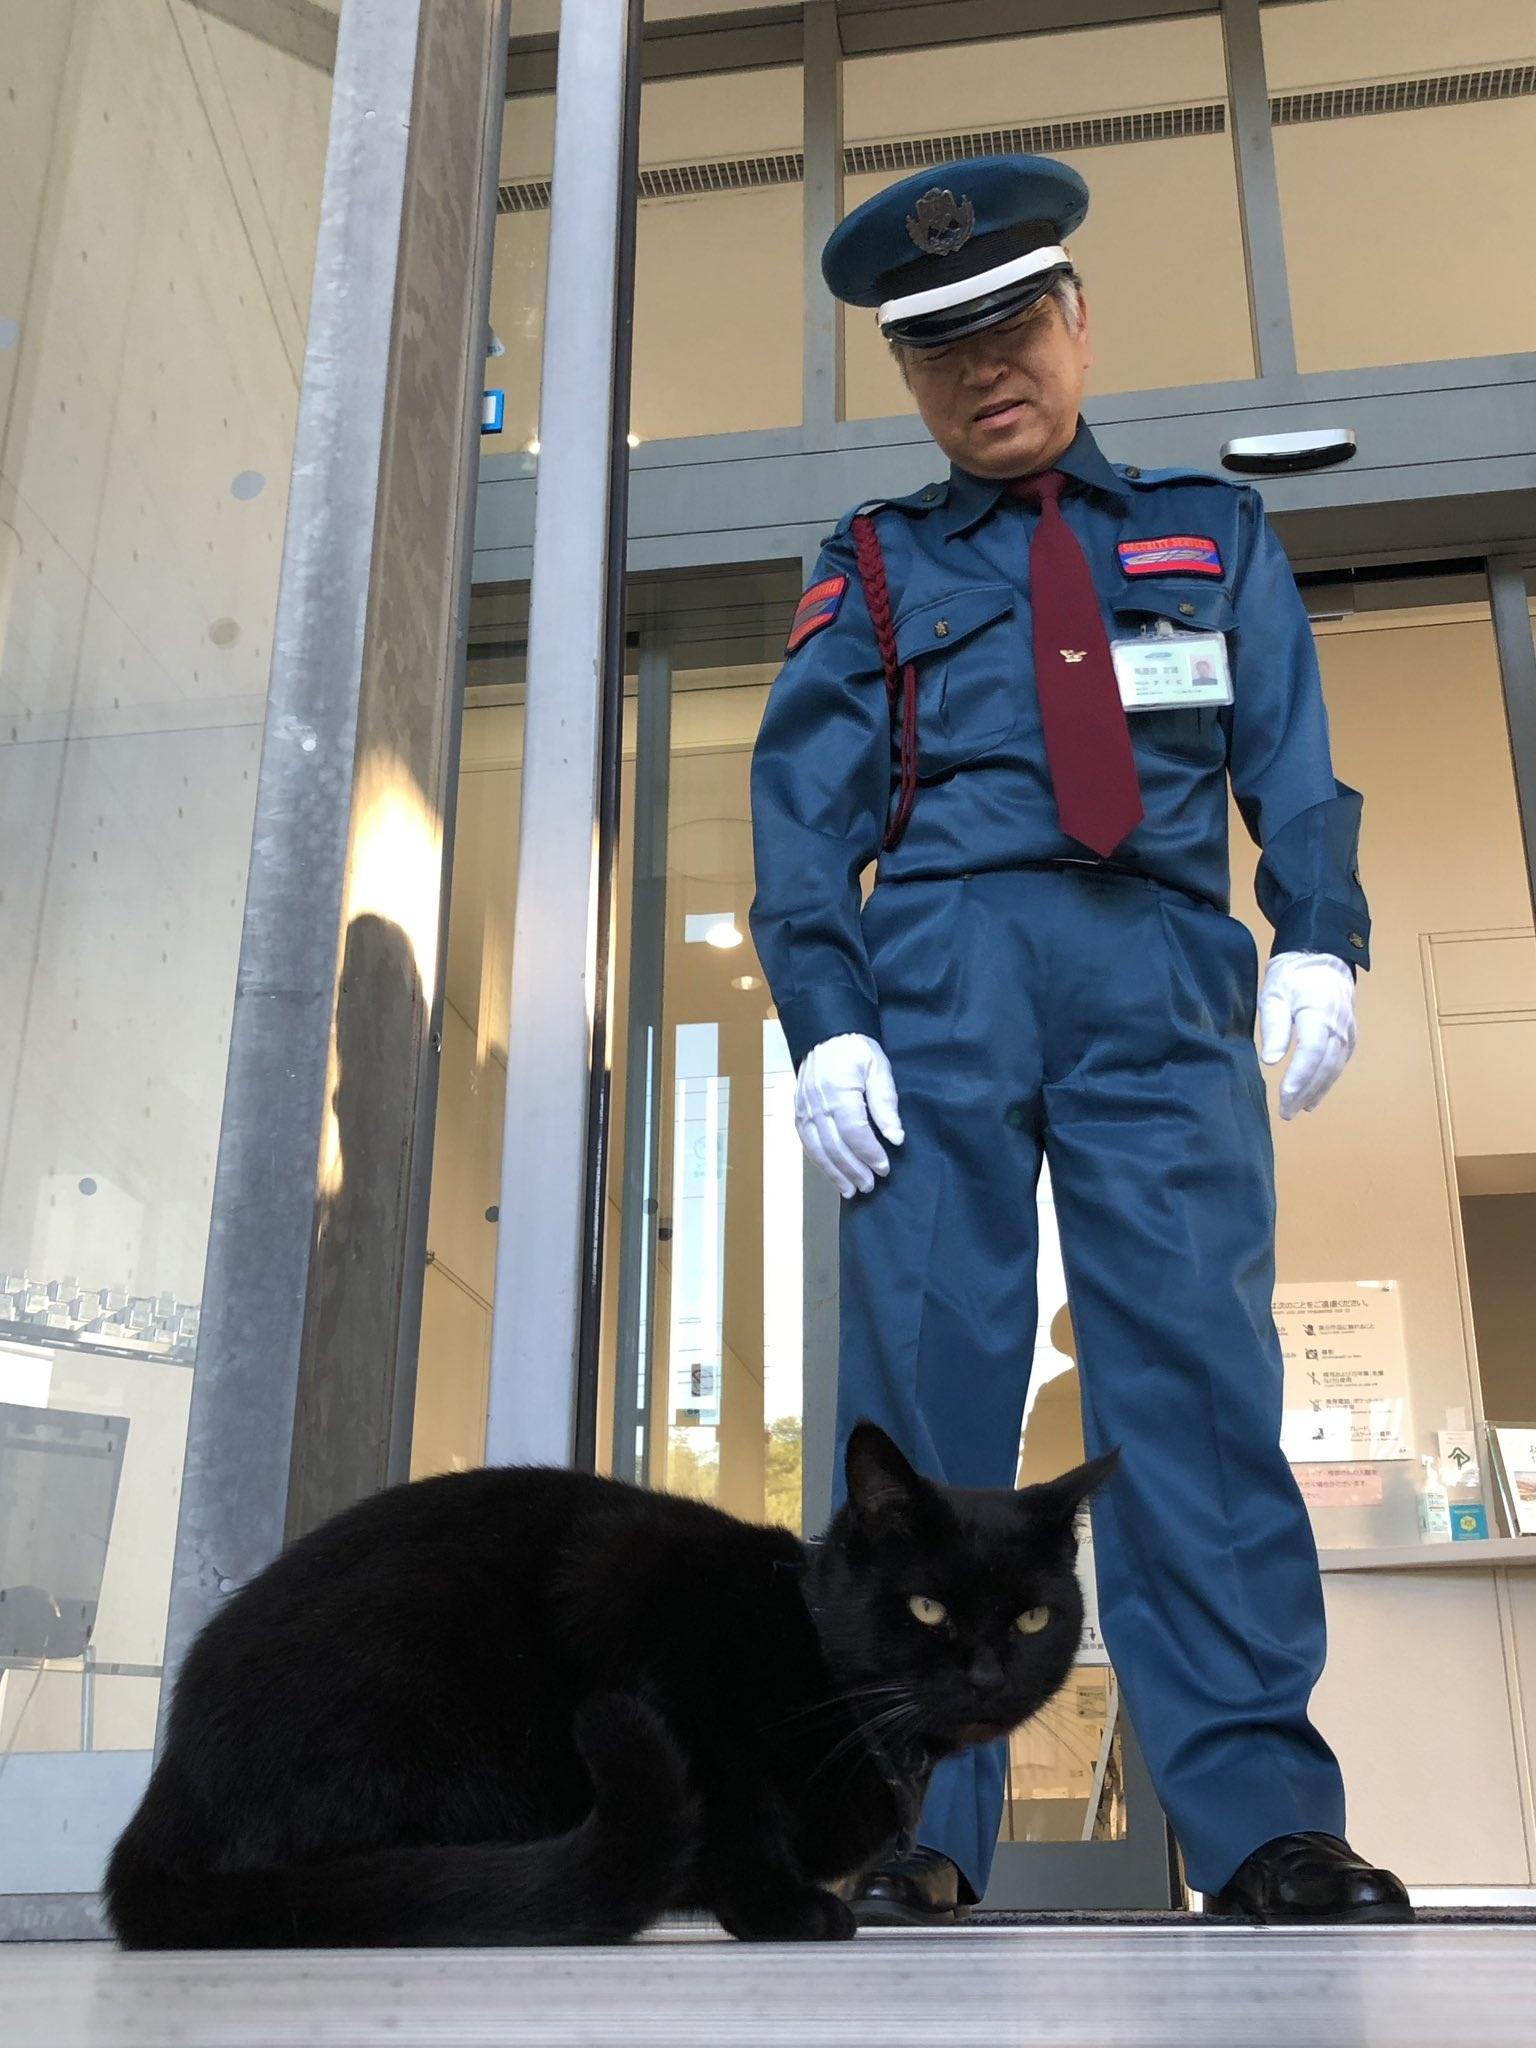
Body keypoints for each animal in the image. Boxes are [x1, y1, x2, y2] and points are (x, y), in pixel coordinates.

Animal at [106, 1422, 1113, 1947]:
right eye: (928, 1609)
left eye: (1032, 1619)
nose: (986, 1673)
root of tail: (167, 1785)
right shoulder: (631, 1593)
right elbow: (736, 1799)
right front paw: (778, 1907)